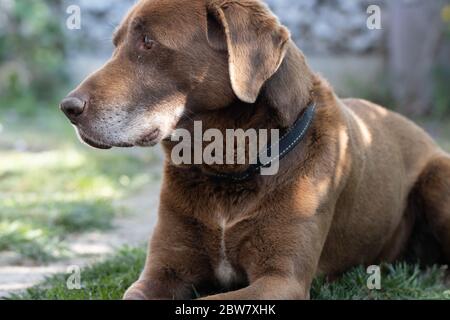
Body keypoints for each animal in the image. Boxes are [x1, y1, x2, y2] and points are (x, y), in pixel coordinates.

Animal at [60, 0, 450, 300]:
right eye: (116, 44)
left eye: (148, 42)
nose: (68, 107)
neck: (225, 168)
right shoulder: (162, 271)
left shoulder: (280, 280)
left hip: (438, 178)